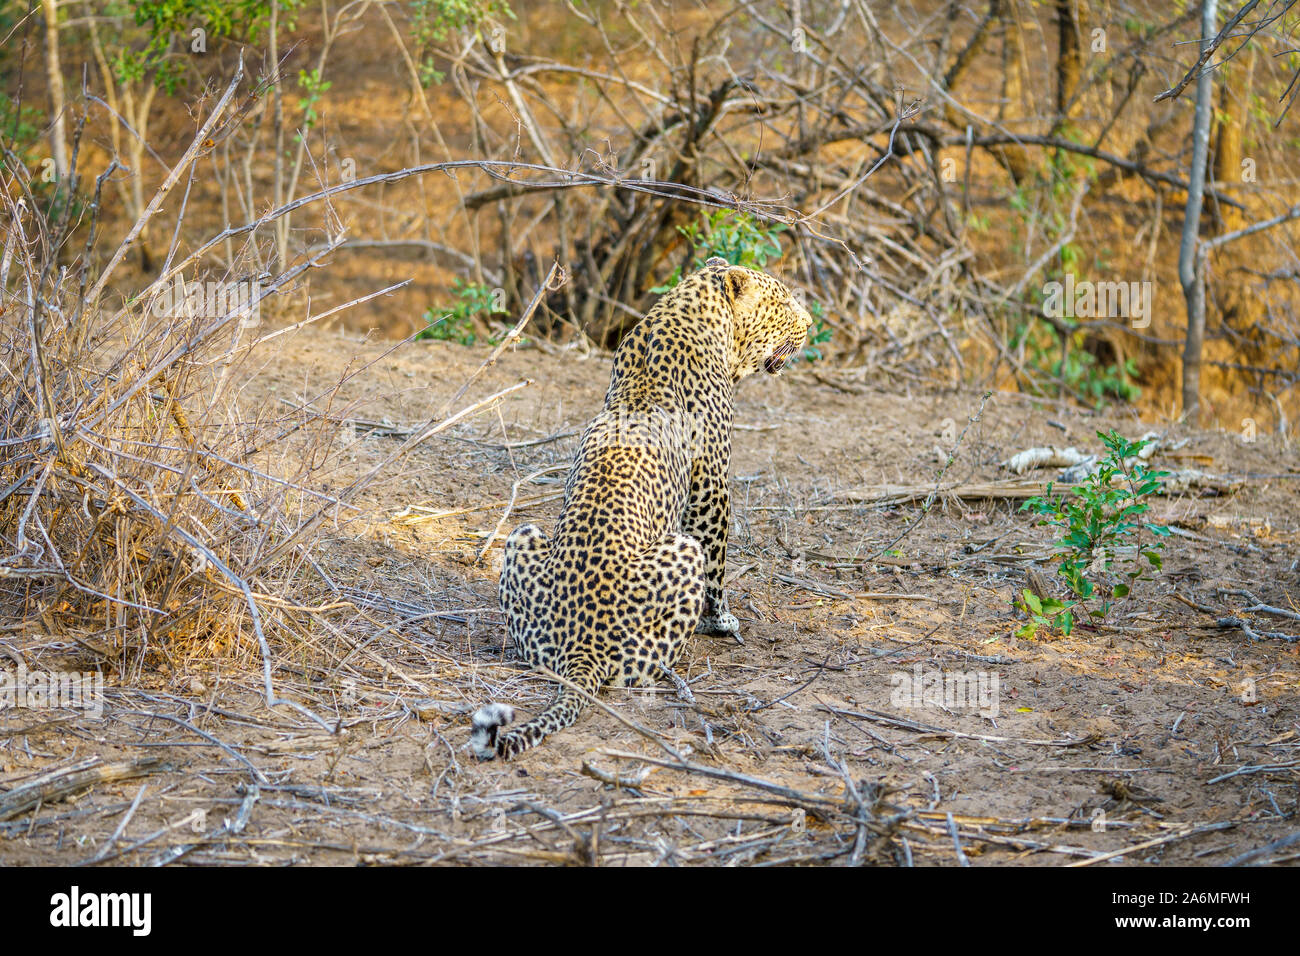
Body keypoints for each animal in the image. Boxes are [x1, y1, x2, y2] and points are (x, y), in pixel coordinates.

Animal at [473, 257, 806, 759]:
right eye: (783, 303)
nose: (811, 323)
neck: (689, 310)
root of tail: (582, 648)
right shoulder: (711, 485)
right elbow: (719, 561)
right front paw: (722, 621)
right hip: (682, 553)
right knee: (650, 659)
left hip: (523, 535)